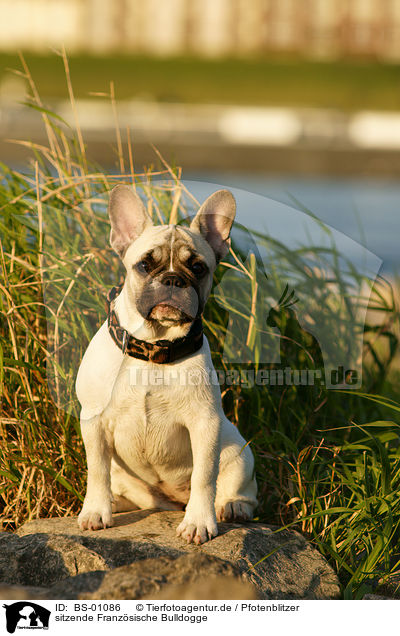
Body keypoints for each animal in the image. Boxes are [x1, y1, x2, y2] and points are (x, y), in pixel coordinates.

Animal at [75, 186, 258, 544]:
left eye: (198, 268)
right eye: (144, 265)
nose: (173, 280)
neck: (153, 347)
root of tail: (168, 500)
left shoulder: (205, 425)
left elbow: (204, 476)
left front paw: (198, 522)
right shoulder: (94, 422)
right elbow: (97, 471)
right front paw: (95, 511)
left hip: (239, 452)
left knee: (240, 489)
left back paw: (232, 506)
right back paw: (115, 503)